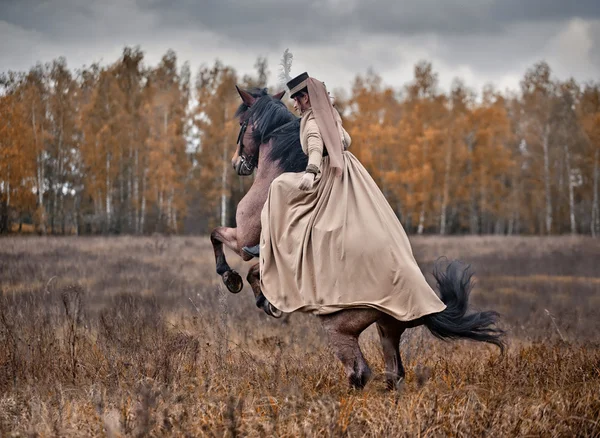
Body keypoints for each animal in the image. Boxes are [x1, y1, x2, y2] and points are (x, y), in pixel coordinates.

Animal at [209, 87, 504, 388]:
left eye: (241, 123)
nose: (237, 163)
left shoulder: (244, 238)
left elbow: (218, 237)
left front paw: (232, 279)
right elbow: (253, 268)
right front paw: (263, 299)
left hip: (339, 329)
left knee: (360, 373)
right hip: (387, 329)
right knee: (394, 373)